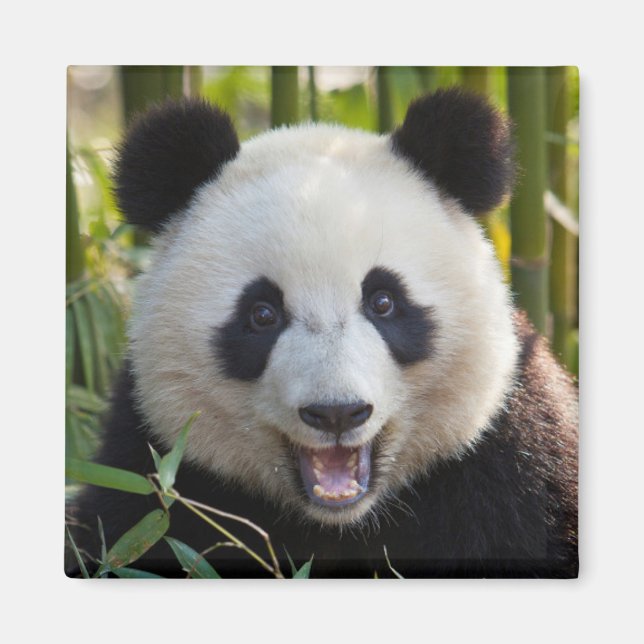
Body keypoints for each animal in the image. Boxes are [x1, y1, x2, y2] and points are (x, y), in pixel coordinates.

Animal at [69, 88, 578, 578]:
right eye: (262, 314)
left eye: (383, 302)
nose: (337, 413)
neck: (340, 523)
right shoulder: (152, 473)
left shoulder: (513, 464)